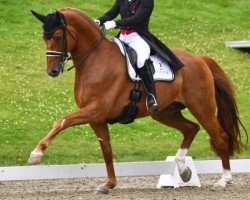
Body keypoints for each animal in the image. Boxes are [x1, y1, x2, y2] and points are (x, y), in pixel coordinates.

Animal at [28, 8, 246, 195]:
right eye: (44, 38)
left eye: (57, 37)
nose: (52, 71)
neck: (95, 60)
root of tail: (199, 58)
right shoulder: (97, 118)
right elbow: (106, 150)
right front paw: (109, 184)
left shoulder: (95, 110)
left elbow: (62, 121)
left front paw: (36, 153)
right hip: (165, 112)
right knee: (191, 129)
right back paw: (184, 171)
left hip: (202, 108)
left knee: (220, 136)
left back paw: (223, 180)